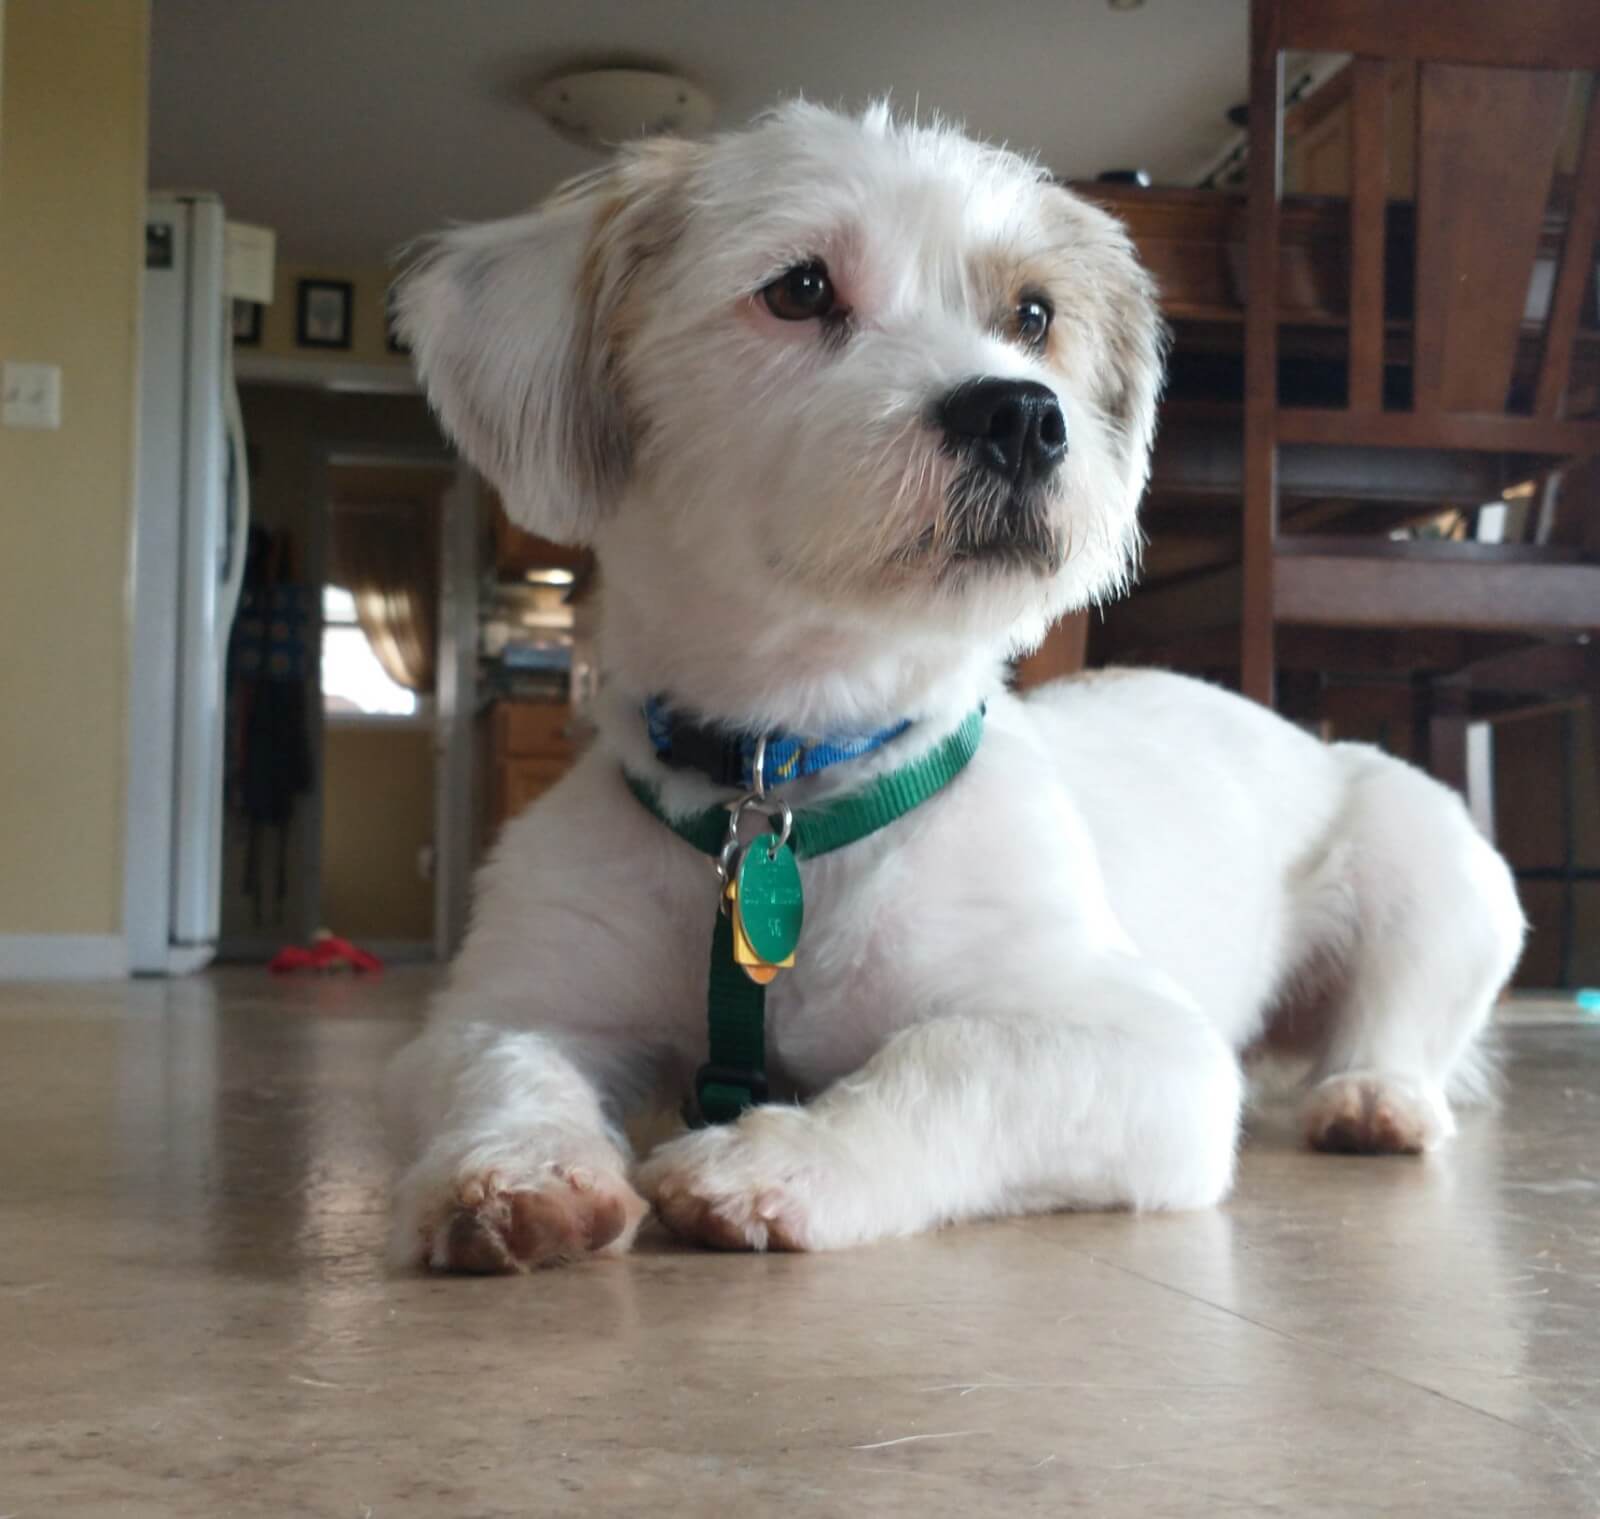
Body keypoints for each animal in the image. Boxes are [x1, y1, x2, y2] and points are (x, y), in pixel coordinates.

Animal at [383, 101, 1525, 1272]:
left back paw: (1377, 1095)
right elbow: (504, 1067)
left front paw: (776, 1159)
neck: (787, 781)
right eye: (801, 288)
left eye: (1034, 314)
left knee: (1401, 1022)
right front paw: (519, 1169)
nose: (1022, 416)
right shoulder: (516, 1002)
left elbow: (949, 1062)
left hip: (1432, 865)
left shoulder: (1144, 1048)